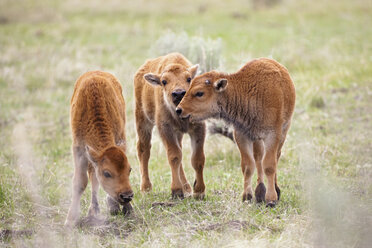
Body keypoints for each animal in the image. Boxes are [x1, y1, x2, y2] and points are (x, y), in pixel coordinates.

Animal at [66, 70, 134, 227]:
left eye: (129, 169)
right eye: (107, 173)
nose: (127, 196)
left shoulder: (119, 138)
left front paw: (126, 209)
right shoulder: (79, 149)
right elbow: (80, 182)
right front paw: (70, 219)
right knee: (92, 178)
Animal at [134, 52, 206, 200]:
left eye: (189, 79)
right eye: (164, 81)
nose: (178, 93)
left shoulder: (198, 128)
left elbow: (197, 158)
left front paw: (199, 192)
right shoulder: (166, 129)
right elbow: (174, 156)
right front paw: (176, 191)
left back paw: (187, 188)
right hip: (143, 121)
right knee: (144, 150)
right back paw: (146, 188)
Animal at [176, 58, 294, 207]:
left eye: (199, 93)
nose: (179, 110)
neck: (246, 91)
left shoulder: (272, 135)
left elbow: (269, 165)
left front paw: (271, 199)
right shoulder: (241, 135)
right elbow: (248, 166)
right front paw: (247, 196)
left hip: (284, 130)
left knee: (275, 156)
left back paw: (274, 190)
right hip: (256, 138)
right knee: (258, 158)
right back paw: (259, 192)